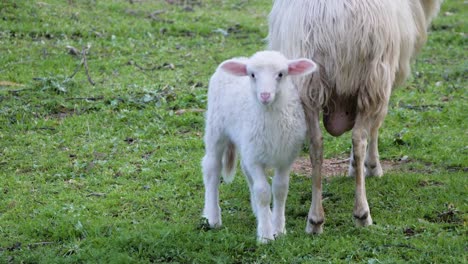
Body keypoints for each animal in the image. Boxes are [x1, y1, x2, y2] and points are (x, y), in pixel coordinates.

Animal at [202, 50, 316, 242]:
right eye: (252, 75)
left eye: (281, 74)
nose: (264, 95)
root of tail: (239, 58)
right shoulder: (255, 159)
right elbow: (263, 192)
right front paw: (265, 236)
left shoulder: (285, 158)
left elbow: (280, 189)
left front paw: (279, 229)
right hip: (215, 128)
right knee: (212, 169)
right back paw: (213, 217)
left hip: (247, 144)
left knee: (246, 172)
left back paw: (263, 214)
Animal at [266, 0, 442, 235]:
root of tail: (336, 21)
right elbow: (375, 128)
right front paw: (371, 167)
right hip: (373, 77)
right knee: (359, 139)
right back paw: (362, 213)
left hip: (306, 85)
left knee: (316, 144)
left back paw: (315, 220)